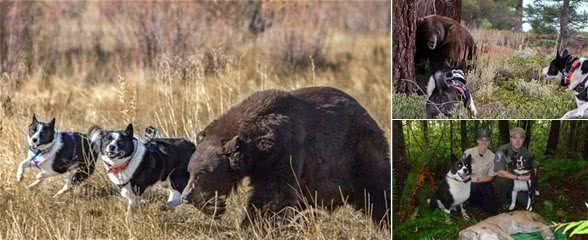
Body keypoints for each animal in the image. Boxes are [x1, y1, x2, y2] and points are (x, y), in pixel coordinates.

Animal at [179, 86, 390, 227]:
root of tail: (367, 114)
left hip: (358, 152)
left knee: (378, 187)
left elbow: (273, 194)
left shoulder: (285, 152)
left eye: (203, 172)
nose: (186, 196)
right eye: (190, 171)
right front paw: (214, 207)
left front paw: (254, 224)